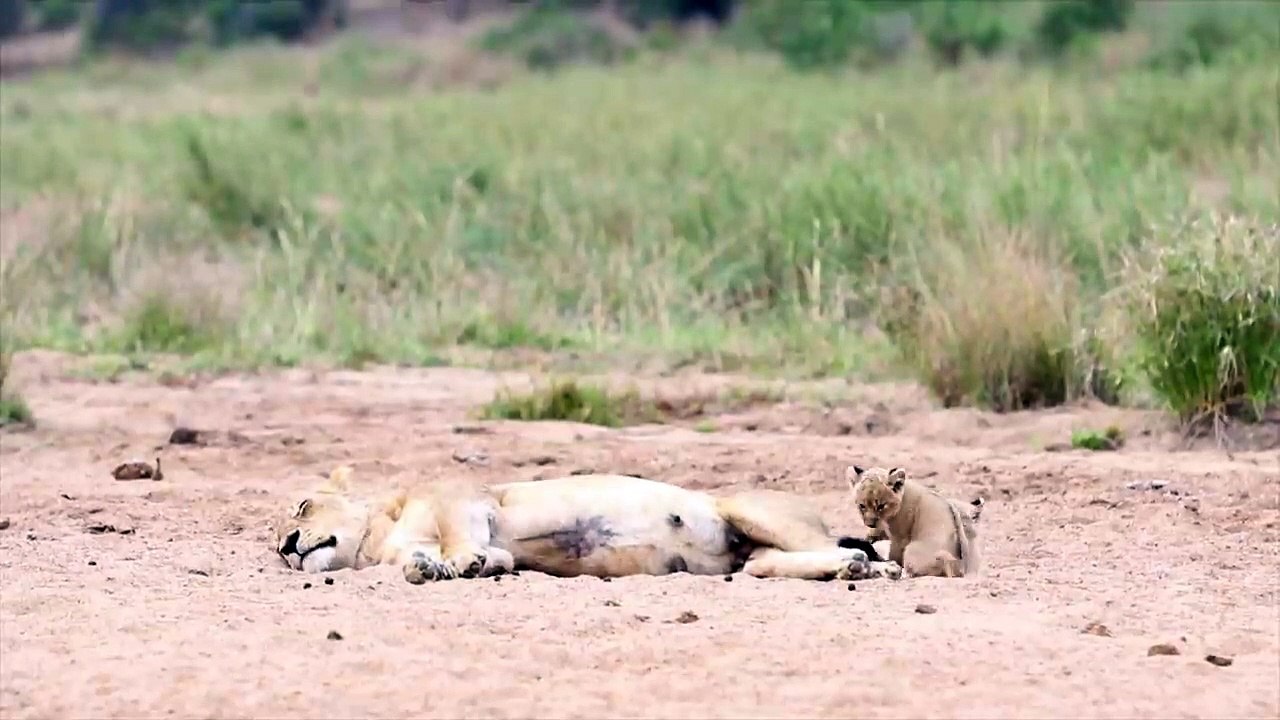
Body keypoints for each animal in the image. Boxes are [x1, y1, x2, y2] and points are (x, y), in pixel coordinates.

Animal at [846, 465, 981, 578]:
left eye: (881, 506)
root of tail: (957, 567)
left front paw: (892, 564)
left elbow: (894, 554)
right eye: (862, 506)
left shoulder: (900, 537)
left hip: (912, 549)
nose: (869, 524)